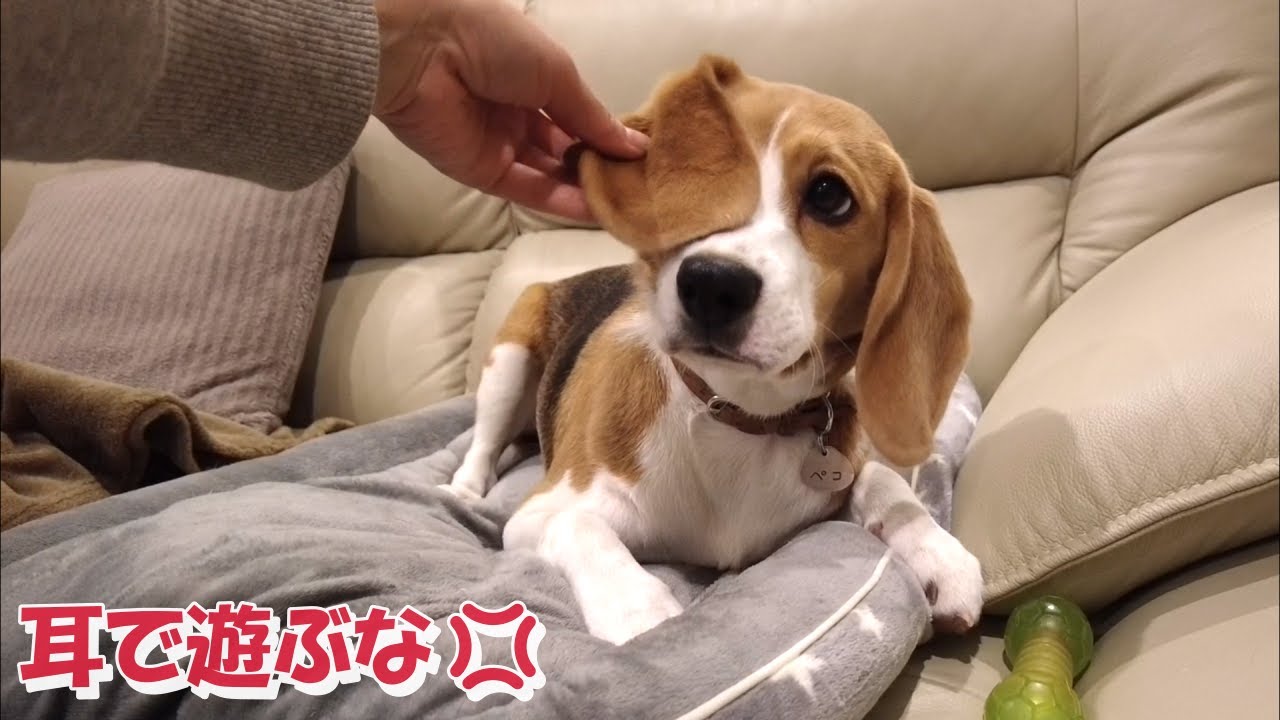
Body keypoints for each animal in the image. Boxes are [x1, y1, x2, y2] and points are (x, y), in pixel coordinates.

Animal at [448, 55, 984, 646]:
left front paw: (936, 550)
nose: (711, 284)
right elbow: (581, 526)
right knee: (481, 446)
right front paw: (640, 611)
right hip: (511, 356)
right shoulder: (539, 512)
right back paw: (464, 493)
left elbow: (881, 477)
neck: (737, 414)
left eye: (830, 195)